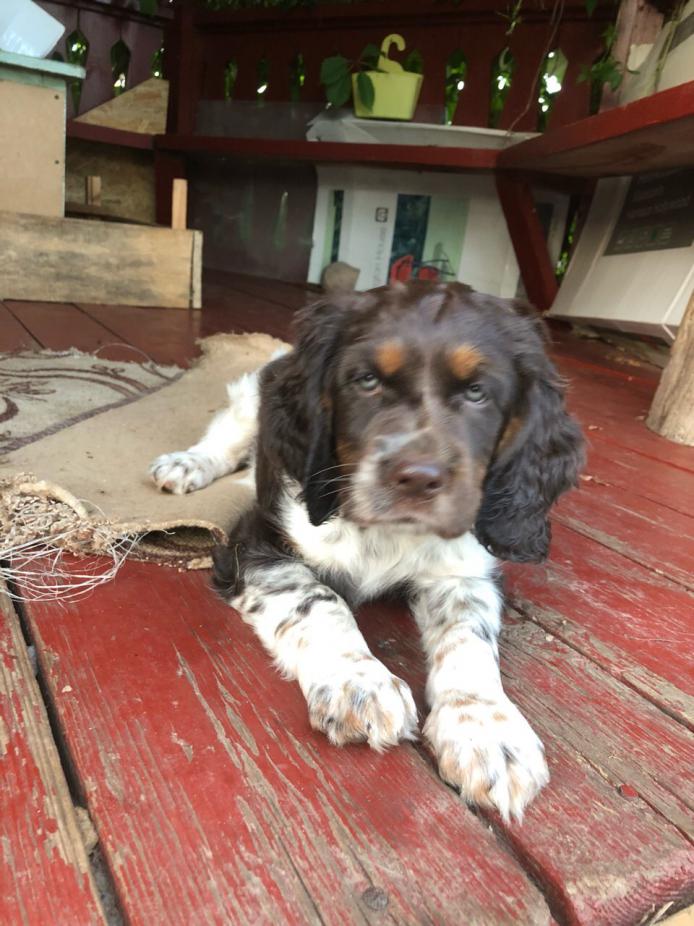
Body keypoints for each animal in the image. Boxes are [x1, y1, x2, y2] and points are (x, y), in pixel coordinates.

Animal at [150, 282, 584, 822]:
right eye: (367, 381)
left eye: (477, 393)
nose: (416, 479)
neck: (387, 533)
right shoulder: (257, 540)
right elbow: (318, 598)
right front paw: (358, 683)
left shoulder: (463, 570)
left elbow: (468, 636)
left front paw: (485, 730)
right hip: (252, 396)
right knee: (225, 439)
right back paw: (186, 465)